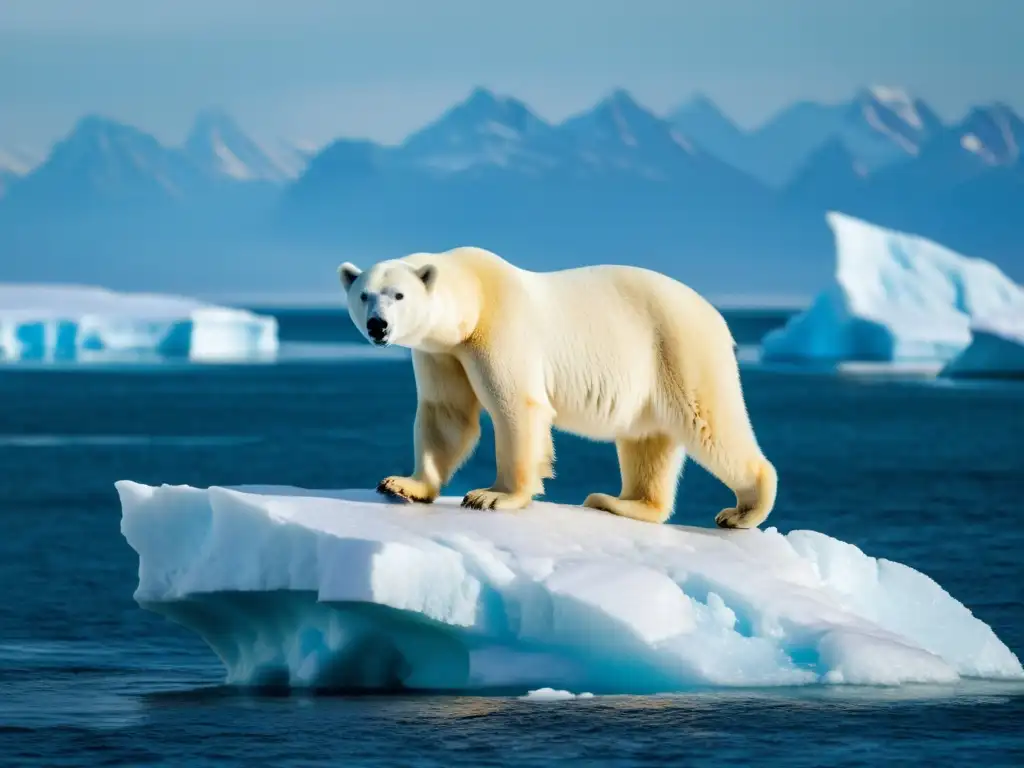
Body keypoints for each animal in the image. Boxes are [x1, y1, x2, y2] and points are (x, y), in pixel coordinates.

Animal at [335, 246, 774, 528]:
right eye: (364, 295)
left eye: (398, 295)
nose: (378, 325)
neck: (475, 297)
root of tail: (717, 316)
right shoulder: (442, 353)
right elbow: (446, 413)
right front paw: (403, 484)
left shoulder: (499, 331)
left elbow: (516, 407)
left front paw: (491, 496)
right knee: (647, 440)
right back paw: (620, 502)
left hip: (678, 348)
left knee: (709, 423)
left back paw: (743, 510)